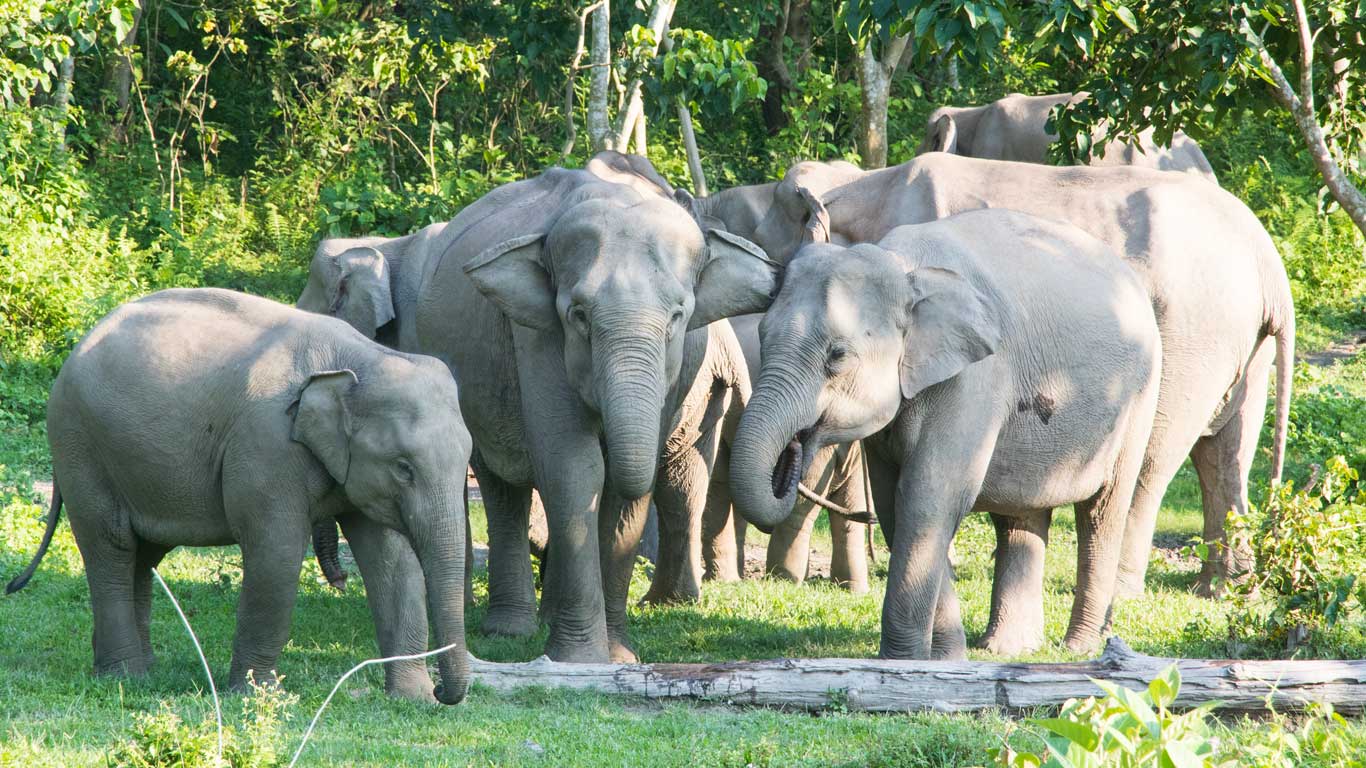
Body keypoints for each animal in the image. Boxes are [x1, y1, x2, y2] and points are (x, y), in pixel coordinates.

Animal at [409, 159, 781, 658]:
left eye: (678, 316)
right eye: (579, 315)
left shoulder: (682, 367)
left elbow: (625, 488)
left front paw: (619, 654)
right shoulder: (537, 335)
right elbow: (575, 468)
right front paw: (579, 659)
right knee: (501, 485)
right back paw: (511, 630)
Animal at [732, 209, 1158, 658]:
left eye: (838, 355)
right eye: (762, 337)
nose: (793, 448)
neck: (904, 268)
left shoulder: (974, 378)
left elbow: (928, 498)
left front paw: (902, 664)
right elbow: (893, 504)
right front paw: (946, 659)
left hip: (1138, 397)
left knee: (1102, 510)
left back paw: (1080, 647)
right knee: (1021, 516)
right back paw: (1007, 650)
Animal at [737, 152, 1289, 598]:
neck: (858, 182)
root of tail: (1268, 260)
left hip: (1194, 334)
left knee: (1154, 460)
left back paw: (1131, 589)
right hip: (1244, 346)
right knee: (1225, 453)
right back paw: (1221, 588)